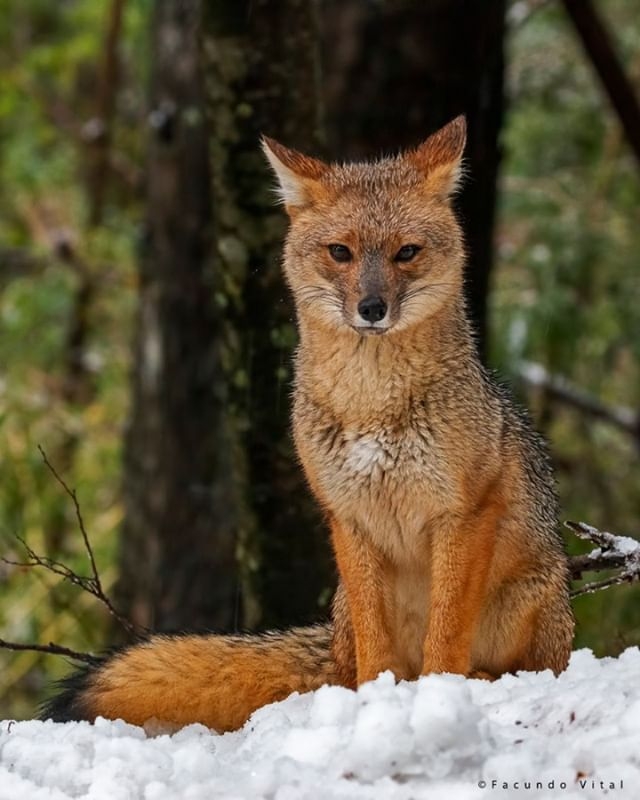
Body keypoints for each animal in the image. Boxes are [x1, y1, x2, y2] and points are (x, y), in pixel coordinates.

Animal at [42, 115, 574, 732]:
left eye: (406, 252)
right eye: (340, 252)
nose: (372, 308)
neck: (372, 406)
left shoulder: (463, 513)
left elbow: (447, 635)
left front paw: (441, 696)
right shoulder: (349, 517)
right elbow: (376, 646)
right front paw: (377, 702)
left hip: (530, 601)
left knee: (516, 666)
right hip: (348, 604)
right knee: (352, 662)